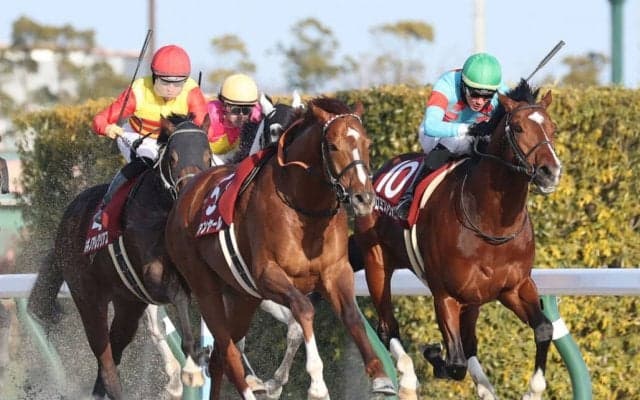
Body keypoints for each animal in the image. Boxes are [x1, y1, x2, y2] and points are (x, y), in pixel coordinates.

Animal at [27, 114, 212, 400]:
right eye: (172, 158)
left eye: (207, 155)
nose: (190, 194)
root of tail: (67, 218)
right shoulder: (152, 276)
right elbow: (178, 296)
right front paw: (191, 365)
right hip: (88, 298)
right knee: (105, 358)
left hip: (128, 305)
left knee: (115, 349)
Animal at [165, 97, 396, 400]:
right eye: (333, 146)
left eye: (367, 143)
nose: (363, 198)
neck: (304, 207)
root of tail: (187, 193)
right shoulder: (269, 275)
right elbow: (304, 310)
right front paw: (317, 384)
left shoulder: (336, 271)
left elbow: (352, 316)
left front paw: (380, 377)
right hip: (206, 289)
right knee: (228, 351)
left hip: (243, 297)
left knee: (219, 357)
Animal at [351, 80, 562, 400]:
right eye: (518, 128)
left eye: (552, 128)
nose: (551, 172)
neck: (491, 223)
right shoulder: (445, 295)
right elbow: (455, 363)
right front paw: (433, 354)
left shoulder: (514, 287)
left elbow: (544, 329)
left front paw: (532, 390)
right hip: (376, 262)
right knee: (387, 326)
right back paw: (408, 378)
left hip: (473, 299)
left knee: (470, 341)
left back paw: (485, 388)